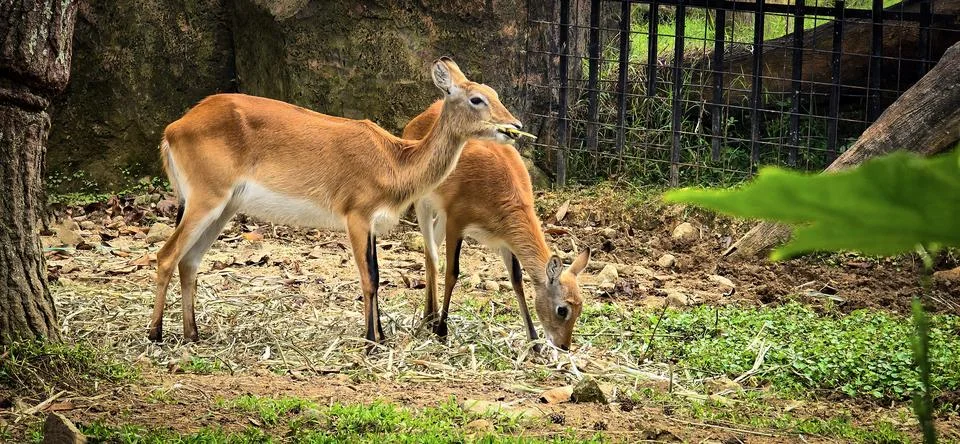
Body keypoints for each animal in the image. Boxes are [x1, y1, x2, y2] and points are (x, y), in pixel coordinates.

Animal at [147, 58, 524, 349]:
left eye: (495, 94)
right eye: (476, 99)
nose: (515, 125)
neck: (394, 161)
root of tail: (174, 128)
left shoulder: (371, 225)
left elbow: (377, 274)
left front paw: (381, 337)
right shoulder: (355, 217)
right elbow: (369, 278)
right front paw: (371, 341)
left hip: (222, 209)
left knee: (189, 261)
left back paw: (193, 335)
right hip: (205, 200)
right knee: (166, 255)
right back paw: (155, 335)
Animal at [402, 100, 591, 352]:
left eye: (580, 307)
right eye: (562, 309)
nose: (563, 346)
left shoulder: (504, 239)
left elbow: (517, 281)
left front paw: (534, 343)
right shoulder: (456, 223)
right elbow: (452, 273)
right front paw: (442, 331)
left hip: (440, 216)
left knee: (431, 248)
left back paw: (429, 317)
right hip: (424, 203)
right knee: (430, 253)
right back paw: (431, 321)